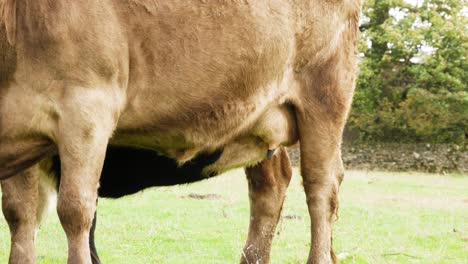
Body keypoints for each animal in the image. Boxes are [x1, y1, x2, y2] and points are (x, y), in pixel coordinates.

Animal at [0, 1, 362, 262]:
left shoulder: (86, 107)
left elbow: (75, 211)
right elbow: (19, 215)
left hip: (326, 91)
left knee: (321, 189)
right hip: (262, 117)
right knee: (271, 184)